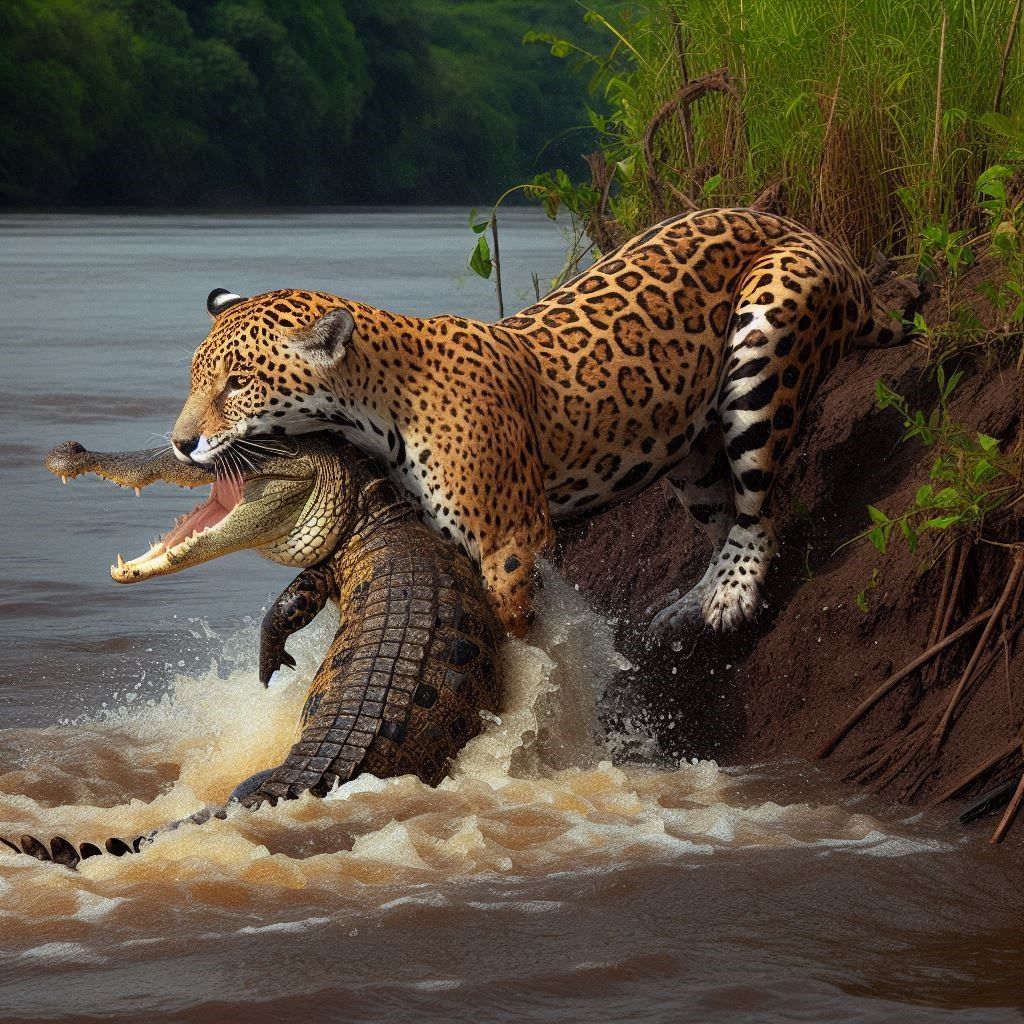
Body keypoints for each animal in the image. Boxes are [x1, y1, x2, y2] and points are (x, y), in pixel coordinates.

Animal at [170, 208, 918, 639]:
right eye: (194, 377)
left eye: (237, 383)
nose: (180, 444)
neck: (376, 408)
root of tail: (829, 246)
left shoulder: (511, 542)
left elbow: (515, 634)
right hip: (690, 453)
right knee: (723, 515)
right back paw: (691, 604)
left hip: (766, 342)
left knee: (762, 511)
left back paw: (731, 597)